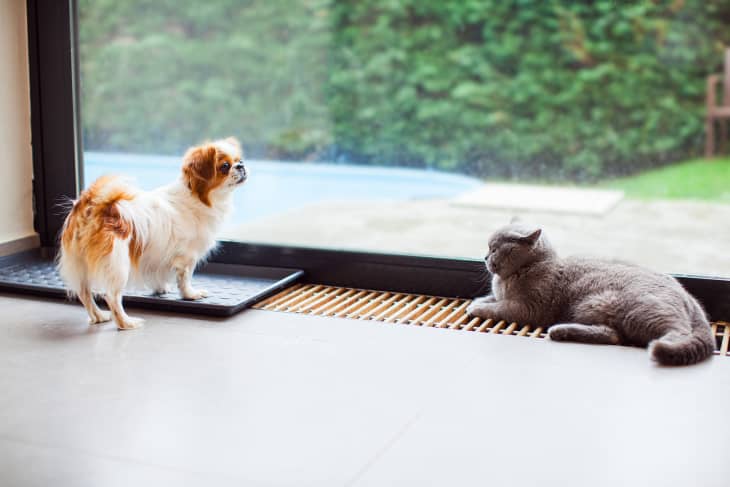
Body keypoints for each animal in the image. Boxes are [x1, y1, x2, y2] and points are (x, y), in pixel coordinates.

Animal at [58, 137, 246, 330]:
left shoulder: (157, 257)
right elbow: (185, 279)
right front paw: (191, 295)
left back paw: (99, 316)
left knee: (84, 293)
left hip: (81, 265)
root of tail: (94, 205)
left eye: (239, 160)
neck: (199, 198)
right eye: (225, 166)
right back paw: (127, 323)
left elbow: (158, 275)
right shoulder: (187, 257)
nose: (241, 165)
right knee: (111, 297)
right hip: (118, 265)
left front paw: (161, 289)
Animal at [466, 221, 712, 366]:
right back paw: (561, 332)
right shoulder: (502, 295)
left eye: (494, 249)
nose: (485, 257)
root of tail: (688, 297)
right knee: (613, 335)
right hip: (592, 309)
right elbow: (492, 298)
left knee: (675, 332)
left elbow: (499, 307)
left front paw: (476, 308)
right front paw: (477, 301)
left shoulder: (527, 308)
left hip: (638, 310)